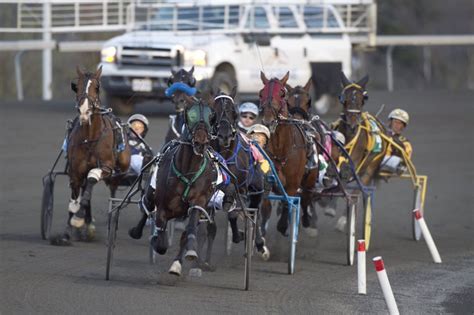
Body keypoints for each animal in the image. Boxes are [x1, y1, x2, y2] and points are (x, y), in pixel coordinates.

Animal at [51, 65, 131, 246]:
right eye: (77, 86)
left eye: (97, 87)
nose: (84, 111)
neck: (90, 138)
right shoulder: (75, 171)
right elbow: (75, 201)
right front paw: (68, 232)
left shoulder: (106, 168)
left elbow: (91, 182)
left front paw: (79, 219)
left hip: (120, 170)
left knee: (110, 188)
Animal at [211, 89, 270, 262]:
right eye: (214, 111)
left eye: (234, 112)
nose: (224, 135)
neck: (226, 155)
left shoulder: (242, 189)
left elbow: (234, 214)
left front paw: (241, 235)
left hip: (257, 189)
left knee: (255, 211)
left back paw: (259, 243)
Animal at [260, 72, 318, 237]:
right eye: (260, 93)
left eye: (282, 93)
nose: (268, 120)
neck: (281, 148)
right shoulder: (268, 181)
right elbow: (265, 206)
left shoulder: (293, 184)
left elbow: (289, 201)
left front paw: (283, 225)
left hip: (310, 179)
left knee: (306, 198)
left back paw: (306, 220)